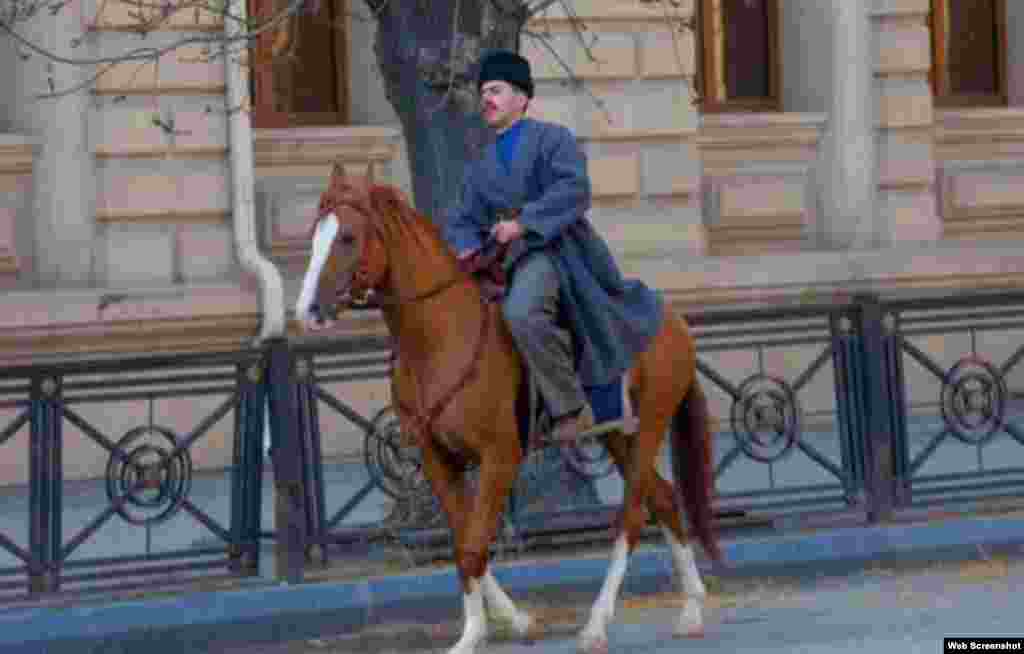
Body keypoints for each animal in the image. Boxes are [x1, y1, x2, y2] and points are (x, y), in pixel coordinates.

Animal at [292, 167, 716, 654]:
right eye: (314, 235)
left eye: (347, 237)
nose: (306, 310)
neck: (440, 337)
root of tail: (674, 319)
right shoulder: (437, 460)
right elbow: (463, 541)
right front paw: (512, 621)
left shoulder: (499, 457)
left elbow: (475, 544)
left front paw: (473, 634)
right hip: (620, 435)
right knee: (662, 498)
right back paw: (691, 608)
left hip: (649, 426)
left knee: (631, 515)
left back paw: (596, 624)